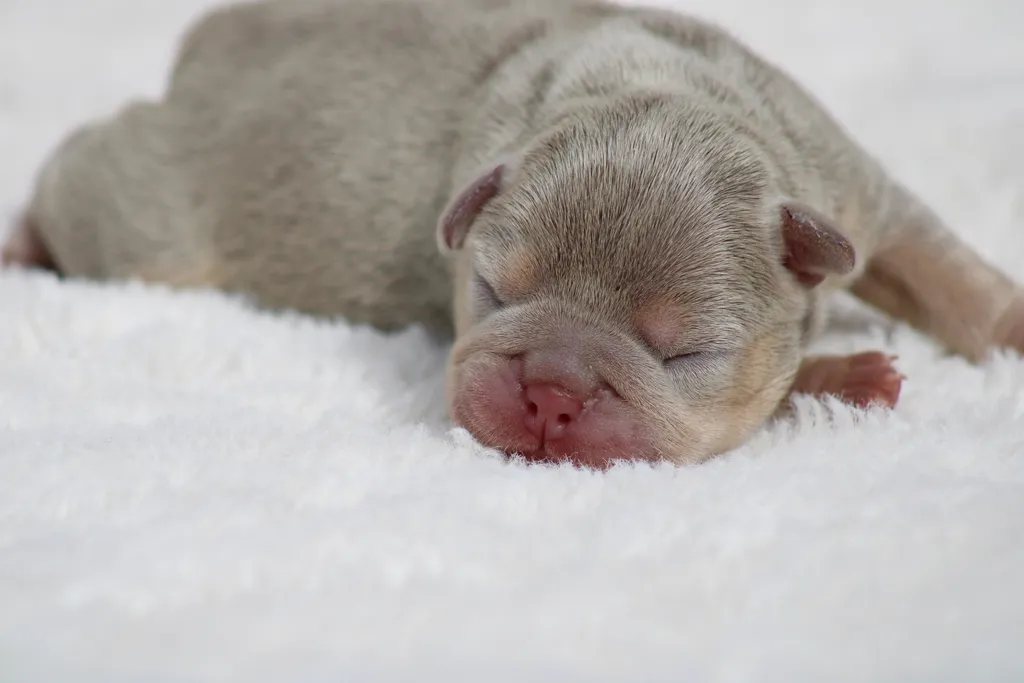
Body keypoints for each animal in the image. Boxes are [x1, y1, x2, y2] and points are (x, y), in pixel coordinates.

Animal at [8, 0, 1024, 466]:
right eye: (494, 292)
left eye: (683, 352)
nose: (551, 390)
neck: (658, 93)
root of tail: (204, 48)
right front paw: (846, 375)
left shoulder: (858, 190)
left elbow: (951, 275)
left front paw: (1000, 330)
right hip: (142, 220)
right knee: (79, 172)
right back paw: (22, 245)